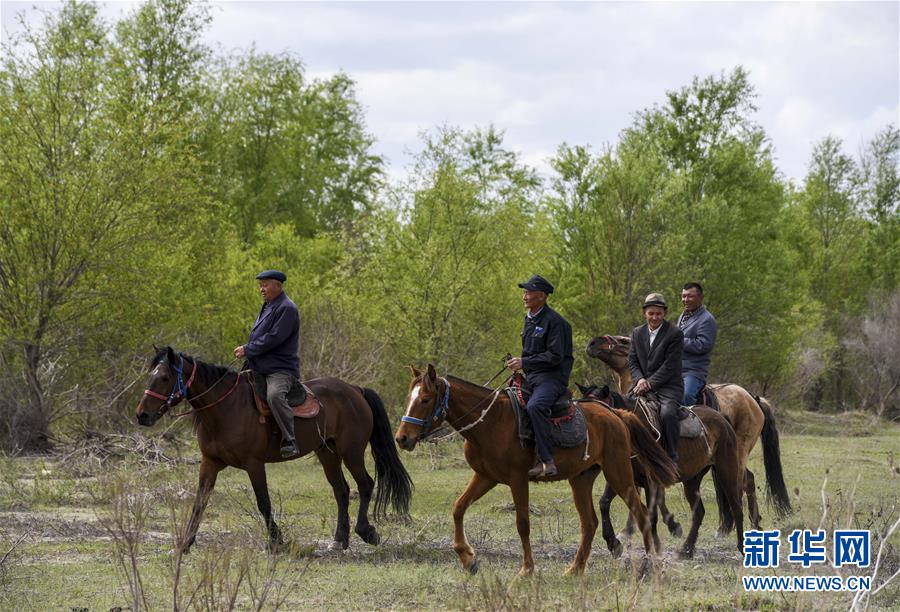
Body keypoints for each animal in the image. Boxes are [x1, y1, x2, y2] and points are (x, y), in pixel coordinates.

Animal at [136, 346, 412, 552]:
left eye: (164, 378)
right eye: (151, 376)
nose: (142, 415)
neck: (225, 409)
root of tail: (355, 390)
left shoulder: (254, 464)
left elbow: (264, 503)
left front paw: (277, 541)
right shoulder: (209, 462)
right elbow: (199, 502)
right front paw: (185, 544)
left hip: (351, 452)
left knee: (365, 484)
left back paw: (366, 532)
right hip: (327, 452)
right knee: (341, 490)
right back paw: (339, 540)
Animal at [394, 366, 676, 576]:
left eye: (425, 399)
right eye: (409, 399)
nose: (402, 438)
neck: (491, 421)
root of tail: (616, 414)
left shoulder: (518, 479)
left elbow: (522, 523)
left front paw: (526, 570)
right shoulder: (485, 477)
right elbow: (458, 507)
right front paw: (468, 559)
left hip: (618, 473)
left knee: (641, 514)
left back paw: (649, 567)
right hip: (581, 479)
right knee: (590, 523)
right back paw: (574, 570)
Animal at [580, 382, 740, 560]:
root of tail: (722, 419)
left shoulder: (651, 482)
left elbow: (651, 515)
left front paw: (655, 546)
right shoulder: (621, 478)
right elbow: (604, 503)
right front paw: (613, 544)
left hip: (727, 472)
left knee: (736, 506)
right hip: (692, 480)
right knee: (699, 513)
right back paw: (686, 550)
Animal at [584, 332, 788, 528]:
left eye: (625, 341)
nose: (593, 343)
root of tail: (753, 398)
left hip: (739, 451)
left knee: (744, 481)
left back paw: (751, 524)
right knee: (745, 481)